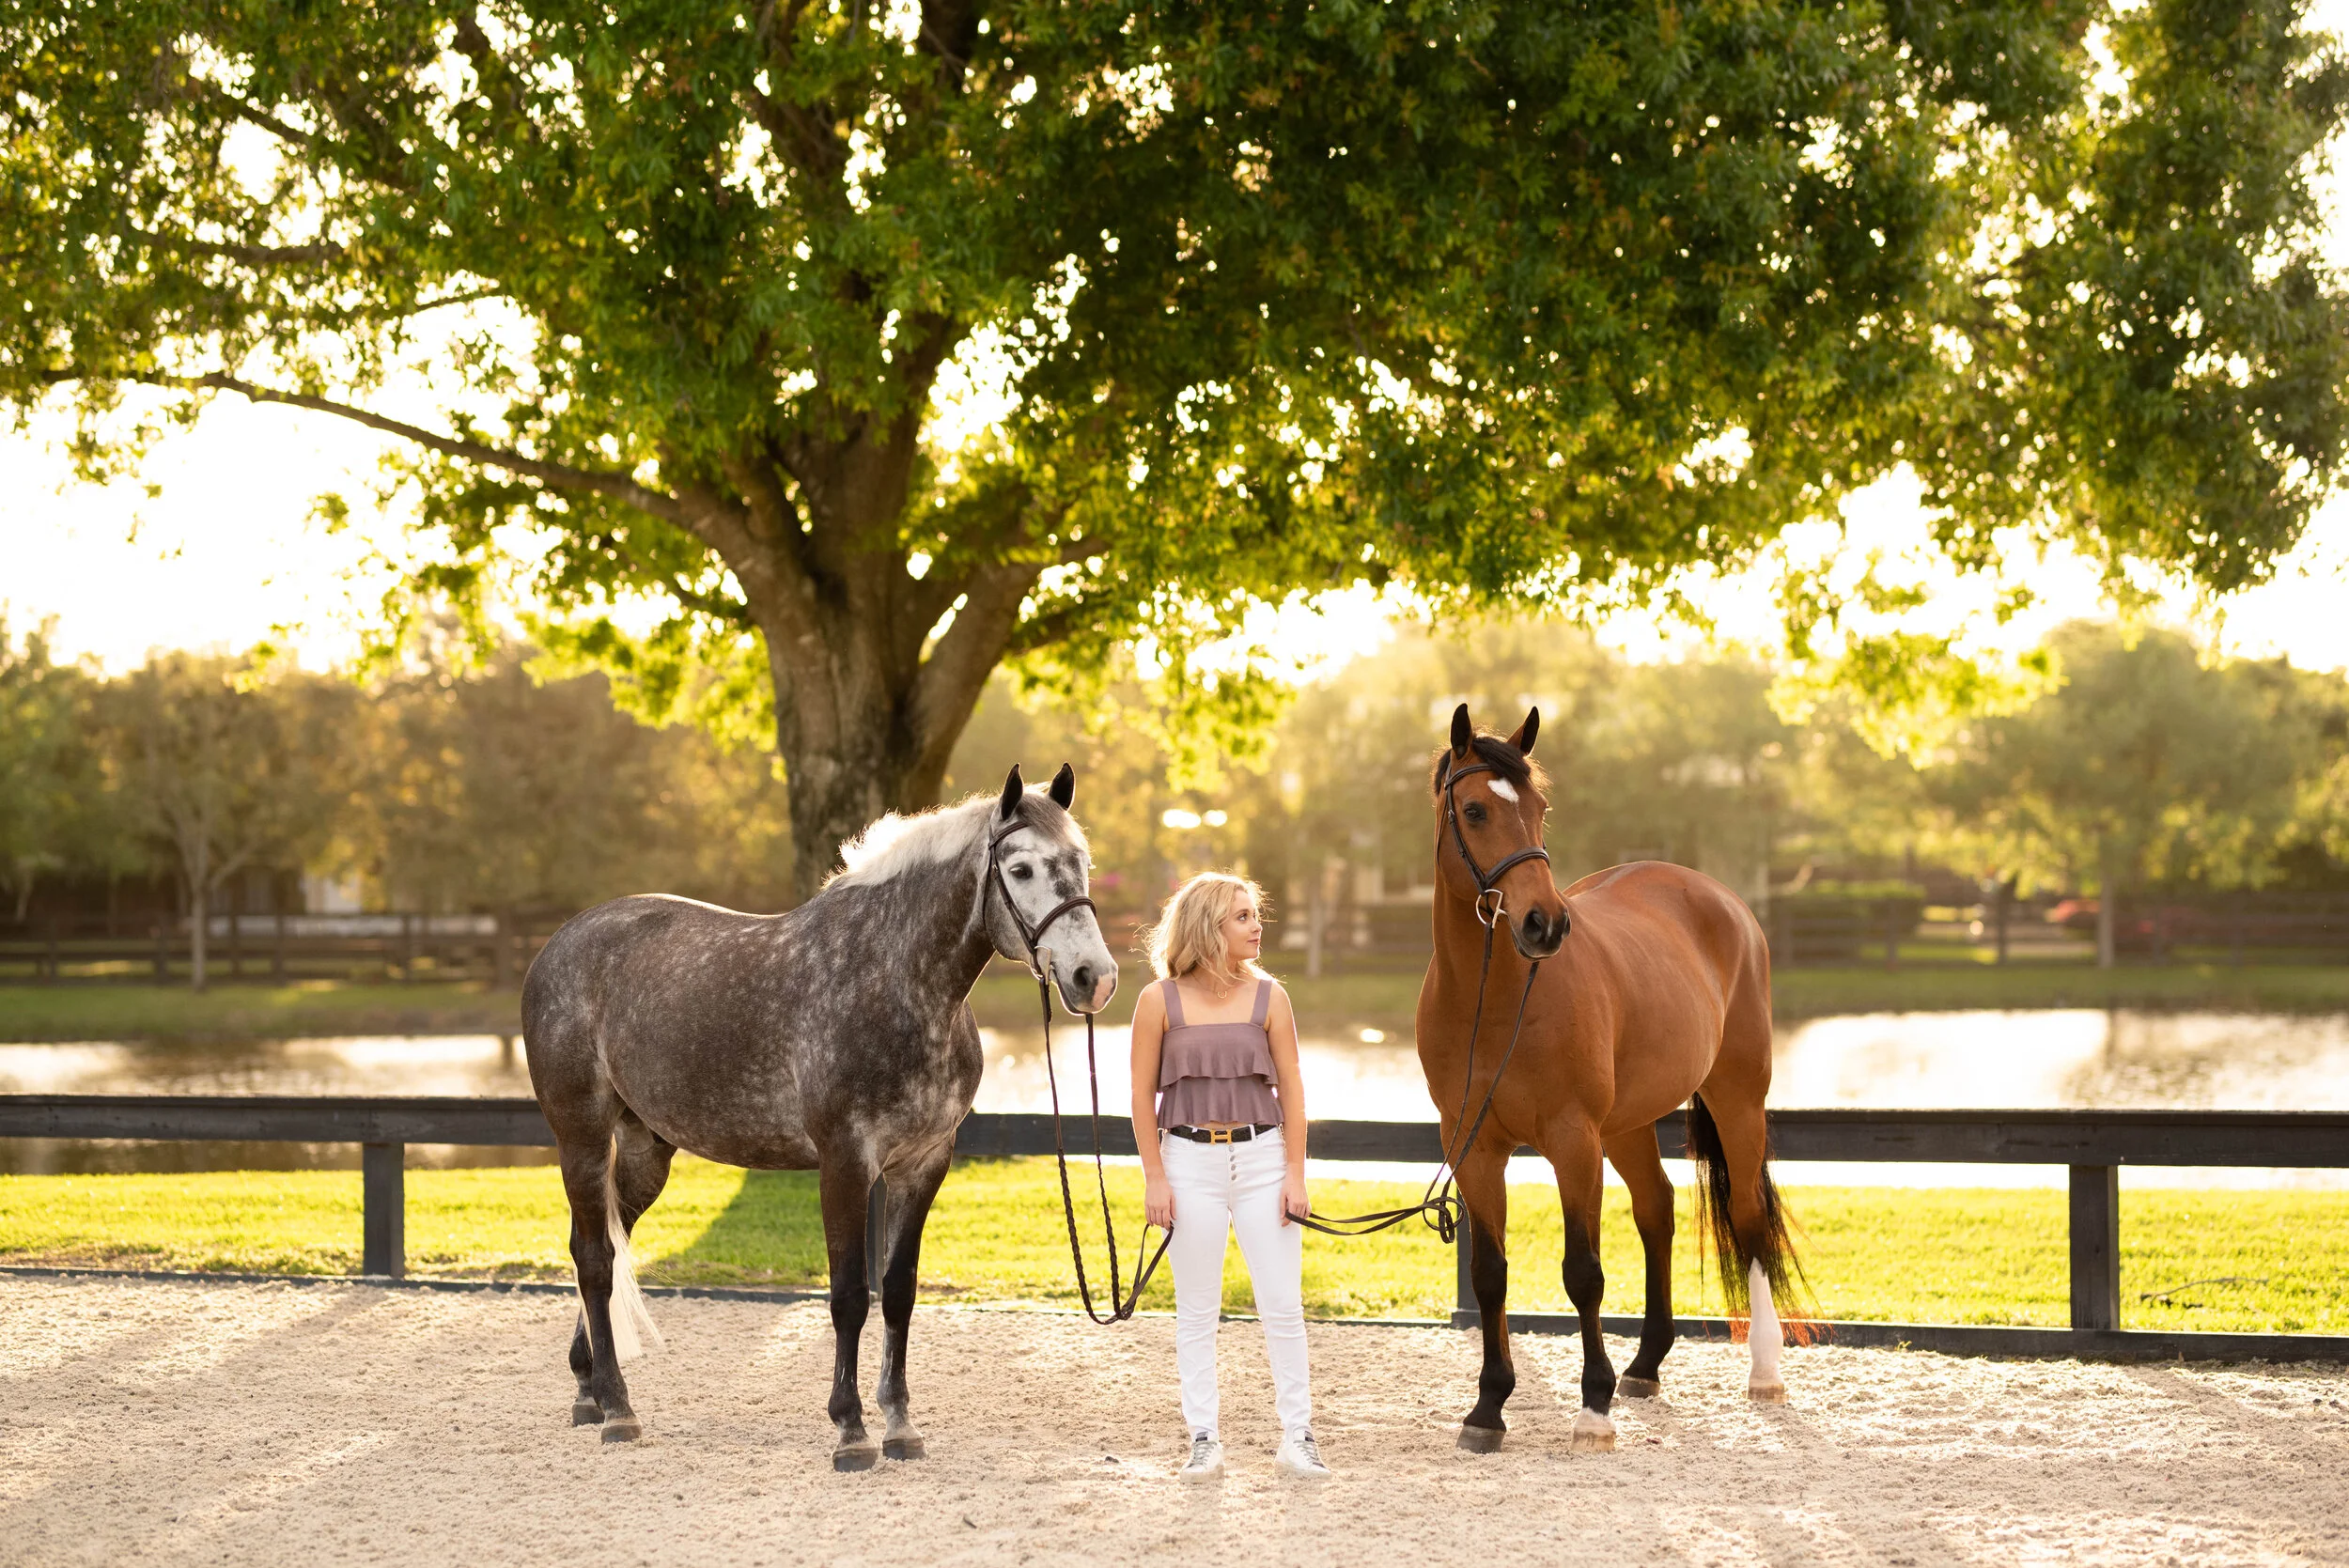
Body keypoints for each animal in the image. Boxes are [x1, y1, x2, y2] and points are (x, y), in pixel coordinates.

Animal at [521, 763, 1118, 1467]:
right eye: (1021, 869)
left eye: (1082, 863)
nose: (1093, 977)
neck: (892, 980)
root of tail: (560, 944)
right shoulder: (845, 1163)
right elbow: (848, 1295)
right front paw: (851, 1428)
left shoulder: (923, 1164)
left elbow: (898, 1292)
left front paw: (900, 1424)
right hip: (581, 1136)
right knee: (592, 1258)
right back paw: (618, 1408)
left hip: (645, 1150)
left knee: (606, 1248)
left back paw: (588, 1388)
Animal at [1417, 704, 1802, 1455]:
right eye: (1475, 810)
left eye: (1540, 808)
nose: (1544, 923)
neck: (1492, 998)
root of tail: (1722, 899)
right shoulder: (1473, 1147)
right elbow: (1490, 1275)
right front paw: (1488, 1407)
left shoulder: (1573, 1141)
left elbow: (1583, 1272)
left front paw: (1592, 1407)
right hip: (1627, 1125)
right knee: (1657, 1209)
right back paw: (1646, 1365)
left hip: (1736, 1100)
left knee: (1747, 1218)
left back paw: (1765, 1373)